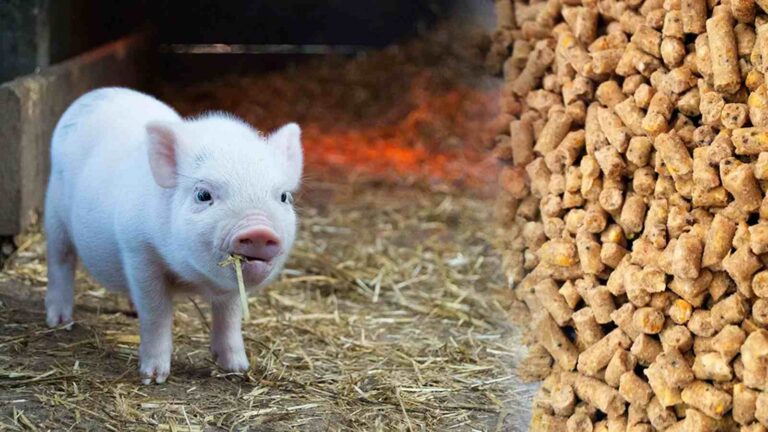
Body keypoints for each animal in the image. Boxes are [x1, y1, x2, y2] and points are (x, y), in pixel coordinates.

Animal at [44, 87, 302, 383]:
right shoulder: (138, 251)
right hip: (54, 213)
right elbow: (157, 313)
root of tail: (96, 94)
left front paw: (238, 368)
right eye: (203, 194)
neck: (192, 279)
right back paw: (59, 321)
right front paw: (153, 377)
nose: (259, 230)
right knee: (60, 260)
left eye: (284, 196)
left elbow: (229, 316)